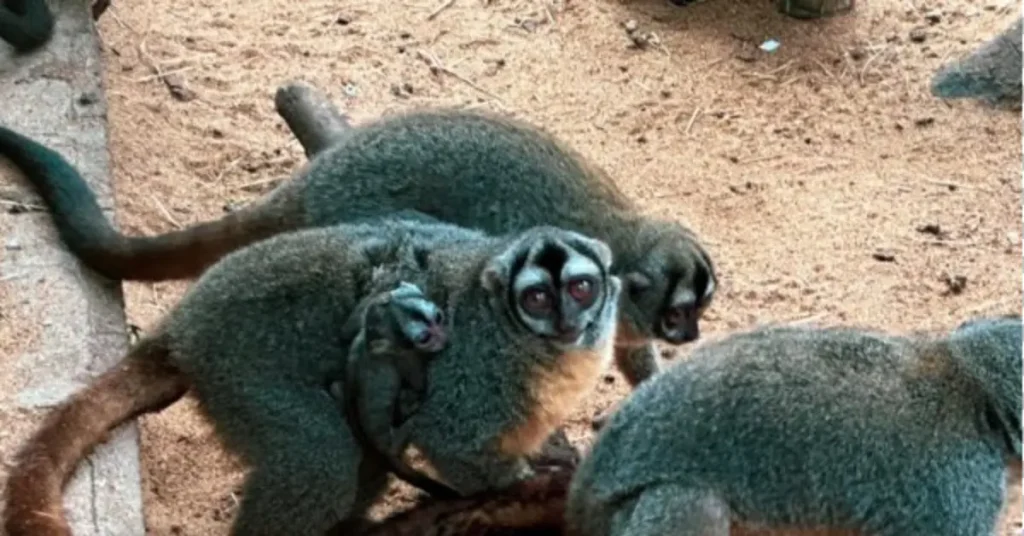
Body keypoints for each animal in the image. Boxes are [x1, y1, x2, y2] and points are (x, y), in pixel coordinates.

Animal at [4, 218, 623, 536]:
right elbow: (454, 442)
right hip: (239, 364)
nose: (568, 321)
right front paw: (523, 485)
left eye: (581, 288)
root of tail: (185, 323)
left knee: (362, 446)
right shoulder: (479, 368)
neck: (539, 350)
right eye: (537, 298)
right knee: (320, 456)